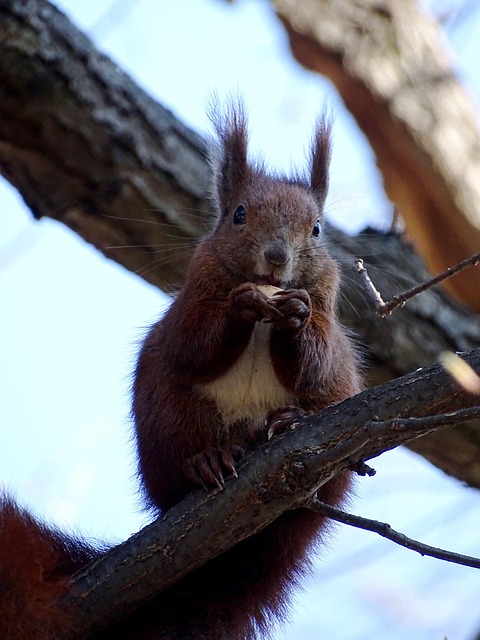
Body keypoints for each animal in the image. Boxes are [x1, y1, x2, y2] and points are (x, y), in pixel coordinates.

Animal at [0, 103, 362, 640]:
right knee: (175, 474)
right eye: (238, 215)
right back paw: (206, 463)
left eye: (317, 229)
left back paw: (288, 424)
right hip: (167, 414)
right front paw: (240, 306)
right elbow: (193, 345)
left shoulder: (330, 325)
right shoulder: (189, 304)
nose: (276, 258)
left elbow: (319, 363)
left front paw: (295, 315)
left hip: (337, 421)